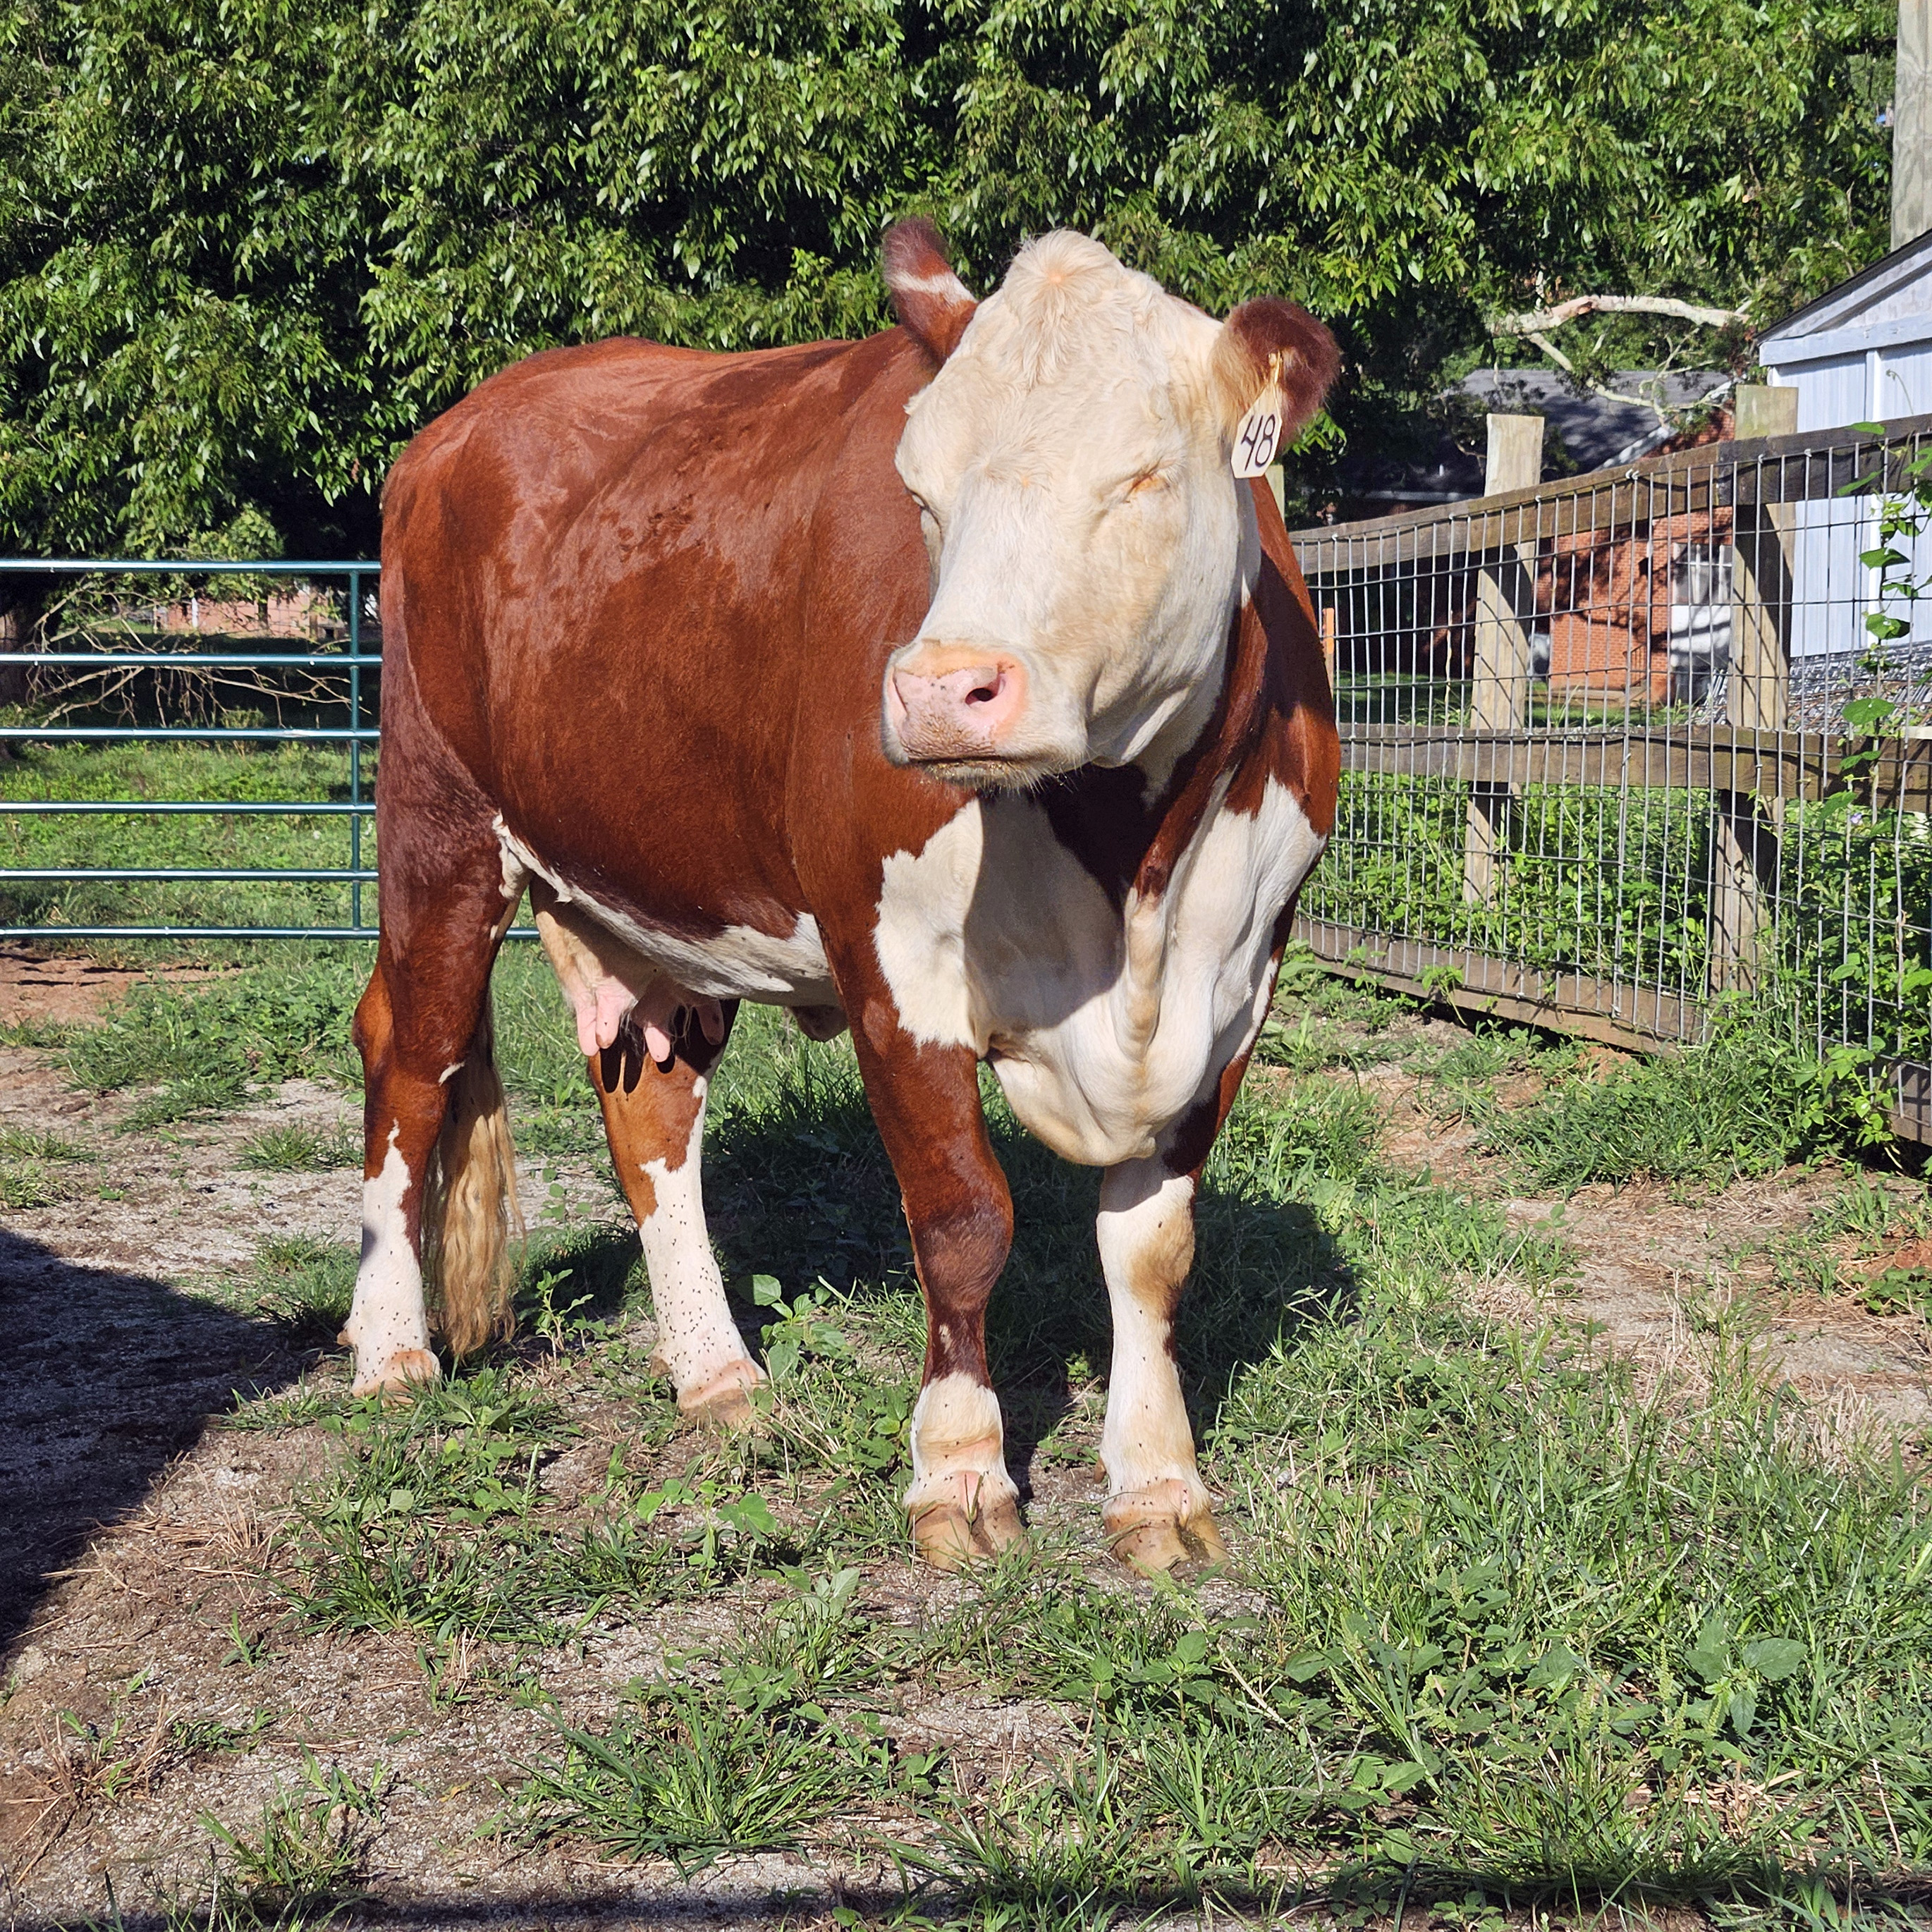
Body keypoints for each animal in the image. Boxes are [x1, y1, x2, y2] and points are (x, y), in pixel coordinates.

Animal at [343, 219, 1345, 1568]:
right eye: (919, 491)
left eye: (1144, 479)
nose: (939, 691)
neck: (1129, 872)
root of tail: (468, 420)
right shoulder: (896, 972)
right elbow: (963, 1221)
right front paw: (961, 1470)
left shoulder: (1234, 985)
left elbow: (1152, 1251)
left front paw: (1158, 1486)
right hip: (436, 827)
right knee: (410, 1064)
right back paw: (392, 1349)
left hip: (652, 892)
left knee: (649, 1115)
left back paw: (716, 1375)